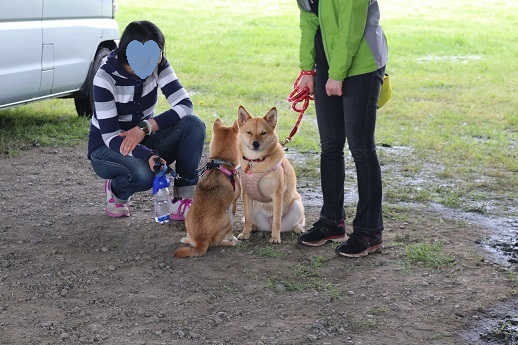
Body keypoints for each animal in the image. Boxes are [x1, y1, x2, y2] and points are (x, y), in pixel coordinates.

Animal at [173, 119, 242, 256]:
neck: (221, 162)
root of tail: (201, 241)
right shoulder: (233, 204)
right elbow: (230, 232)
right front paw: (232, 238)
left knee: (192, 241)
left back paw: (186, 239)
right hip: (229, 218)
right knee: (217, 242)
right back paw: (231, 243)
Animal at [239, 105, 306, 242]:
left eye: (263, 133)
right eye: (249, 132)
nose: (256, 144)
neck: (256, 162)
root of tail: (267, 226)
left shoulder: (277, 195)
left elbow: (276, 220)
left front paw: (275, 237)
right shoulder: (246, 194)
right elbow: (247, 218)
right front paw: (245, 233)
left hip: (297, 205)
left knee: (299, 221)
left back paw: (298, 228)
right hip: (255, 208)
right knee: (250, 219)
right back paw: (253, 227)